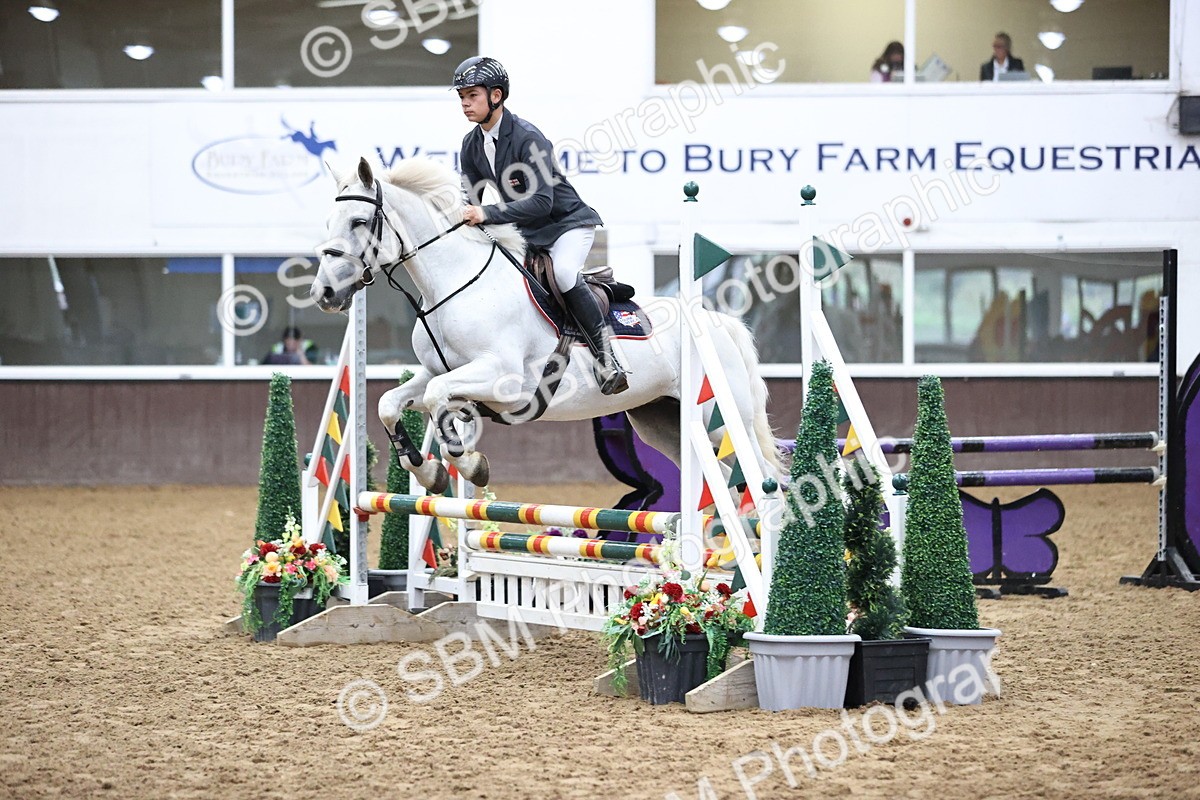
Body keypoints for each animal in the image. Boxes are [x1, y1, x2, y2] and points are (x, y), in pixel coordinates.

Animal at [310, 156, 782, 496]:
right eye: (328, 223)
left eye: (358, 222)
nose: (324, 294)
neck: (455, 283)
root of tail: (720, 323)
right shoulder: (438, 371)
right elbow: (392, 403)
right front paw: (431, 473)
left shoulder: (503, 379)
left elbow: (434, 398)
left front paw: (470, 465)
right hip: (664, 422)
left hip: (721, 420)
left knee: (763, 484)